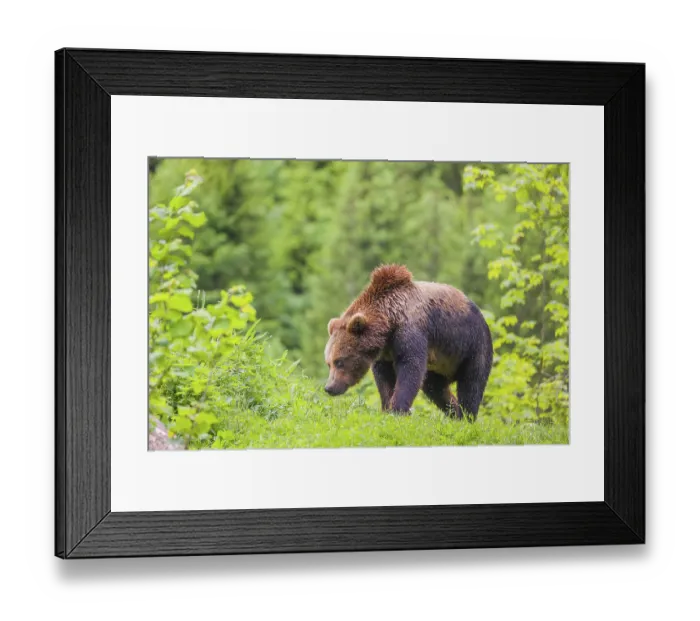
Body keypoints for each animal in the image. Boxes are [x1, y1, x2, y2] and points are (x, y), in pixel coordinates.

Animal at [324, 264, 493, 421]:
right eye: (329, 363)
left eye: (339, 361)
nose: (329, 387)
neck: (389, 322)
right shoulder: (385, 351)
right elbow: (384, 378)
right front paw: (386, 407)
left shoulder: (411, 331)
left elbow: (410, 367)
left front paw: (397, 410)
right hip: (439, 364)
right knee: (435, 387)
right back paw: (455, 413)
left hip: (472, 345)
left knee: (472, 383)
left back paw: (466, 416)